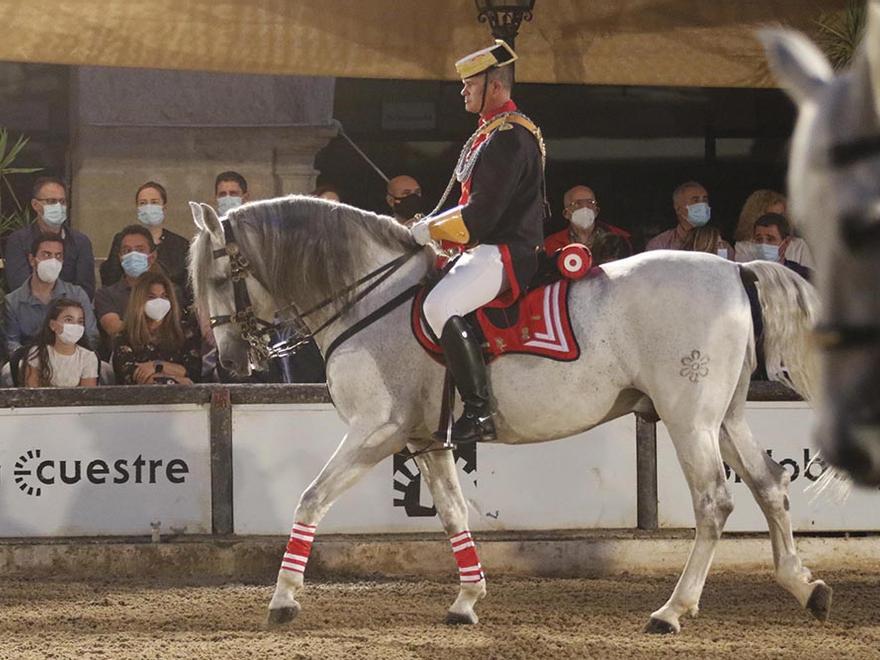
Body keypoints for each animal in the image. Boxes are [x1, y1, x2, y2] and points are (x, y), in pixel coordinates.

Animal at [189, 197, 828, 636]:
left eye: (221, 278)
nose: (230, 362)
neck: (369, 298)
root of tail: (733, 270)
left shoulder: (377, 430)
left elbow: (310, 500)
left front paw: (283, 600)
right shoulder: (426, 439)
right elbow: (452, 513)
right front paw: (467, 601)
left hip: (688, 418)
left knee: (715, 502)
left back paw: (673, 610)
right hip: (725, 417)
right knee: (770, 485)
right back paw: (805, 587)